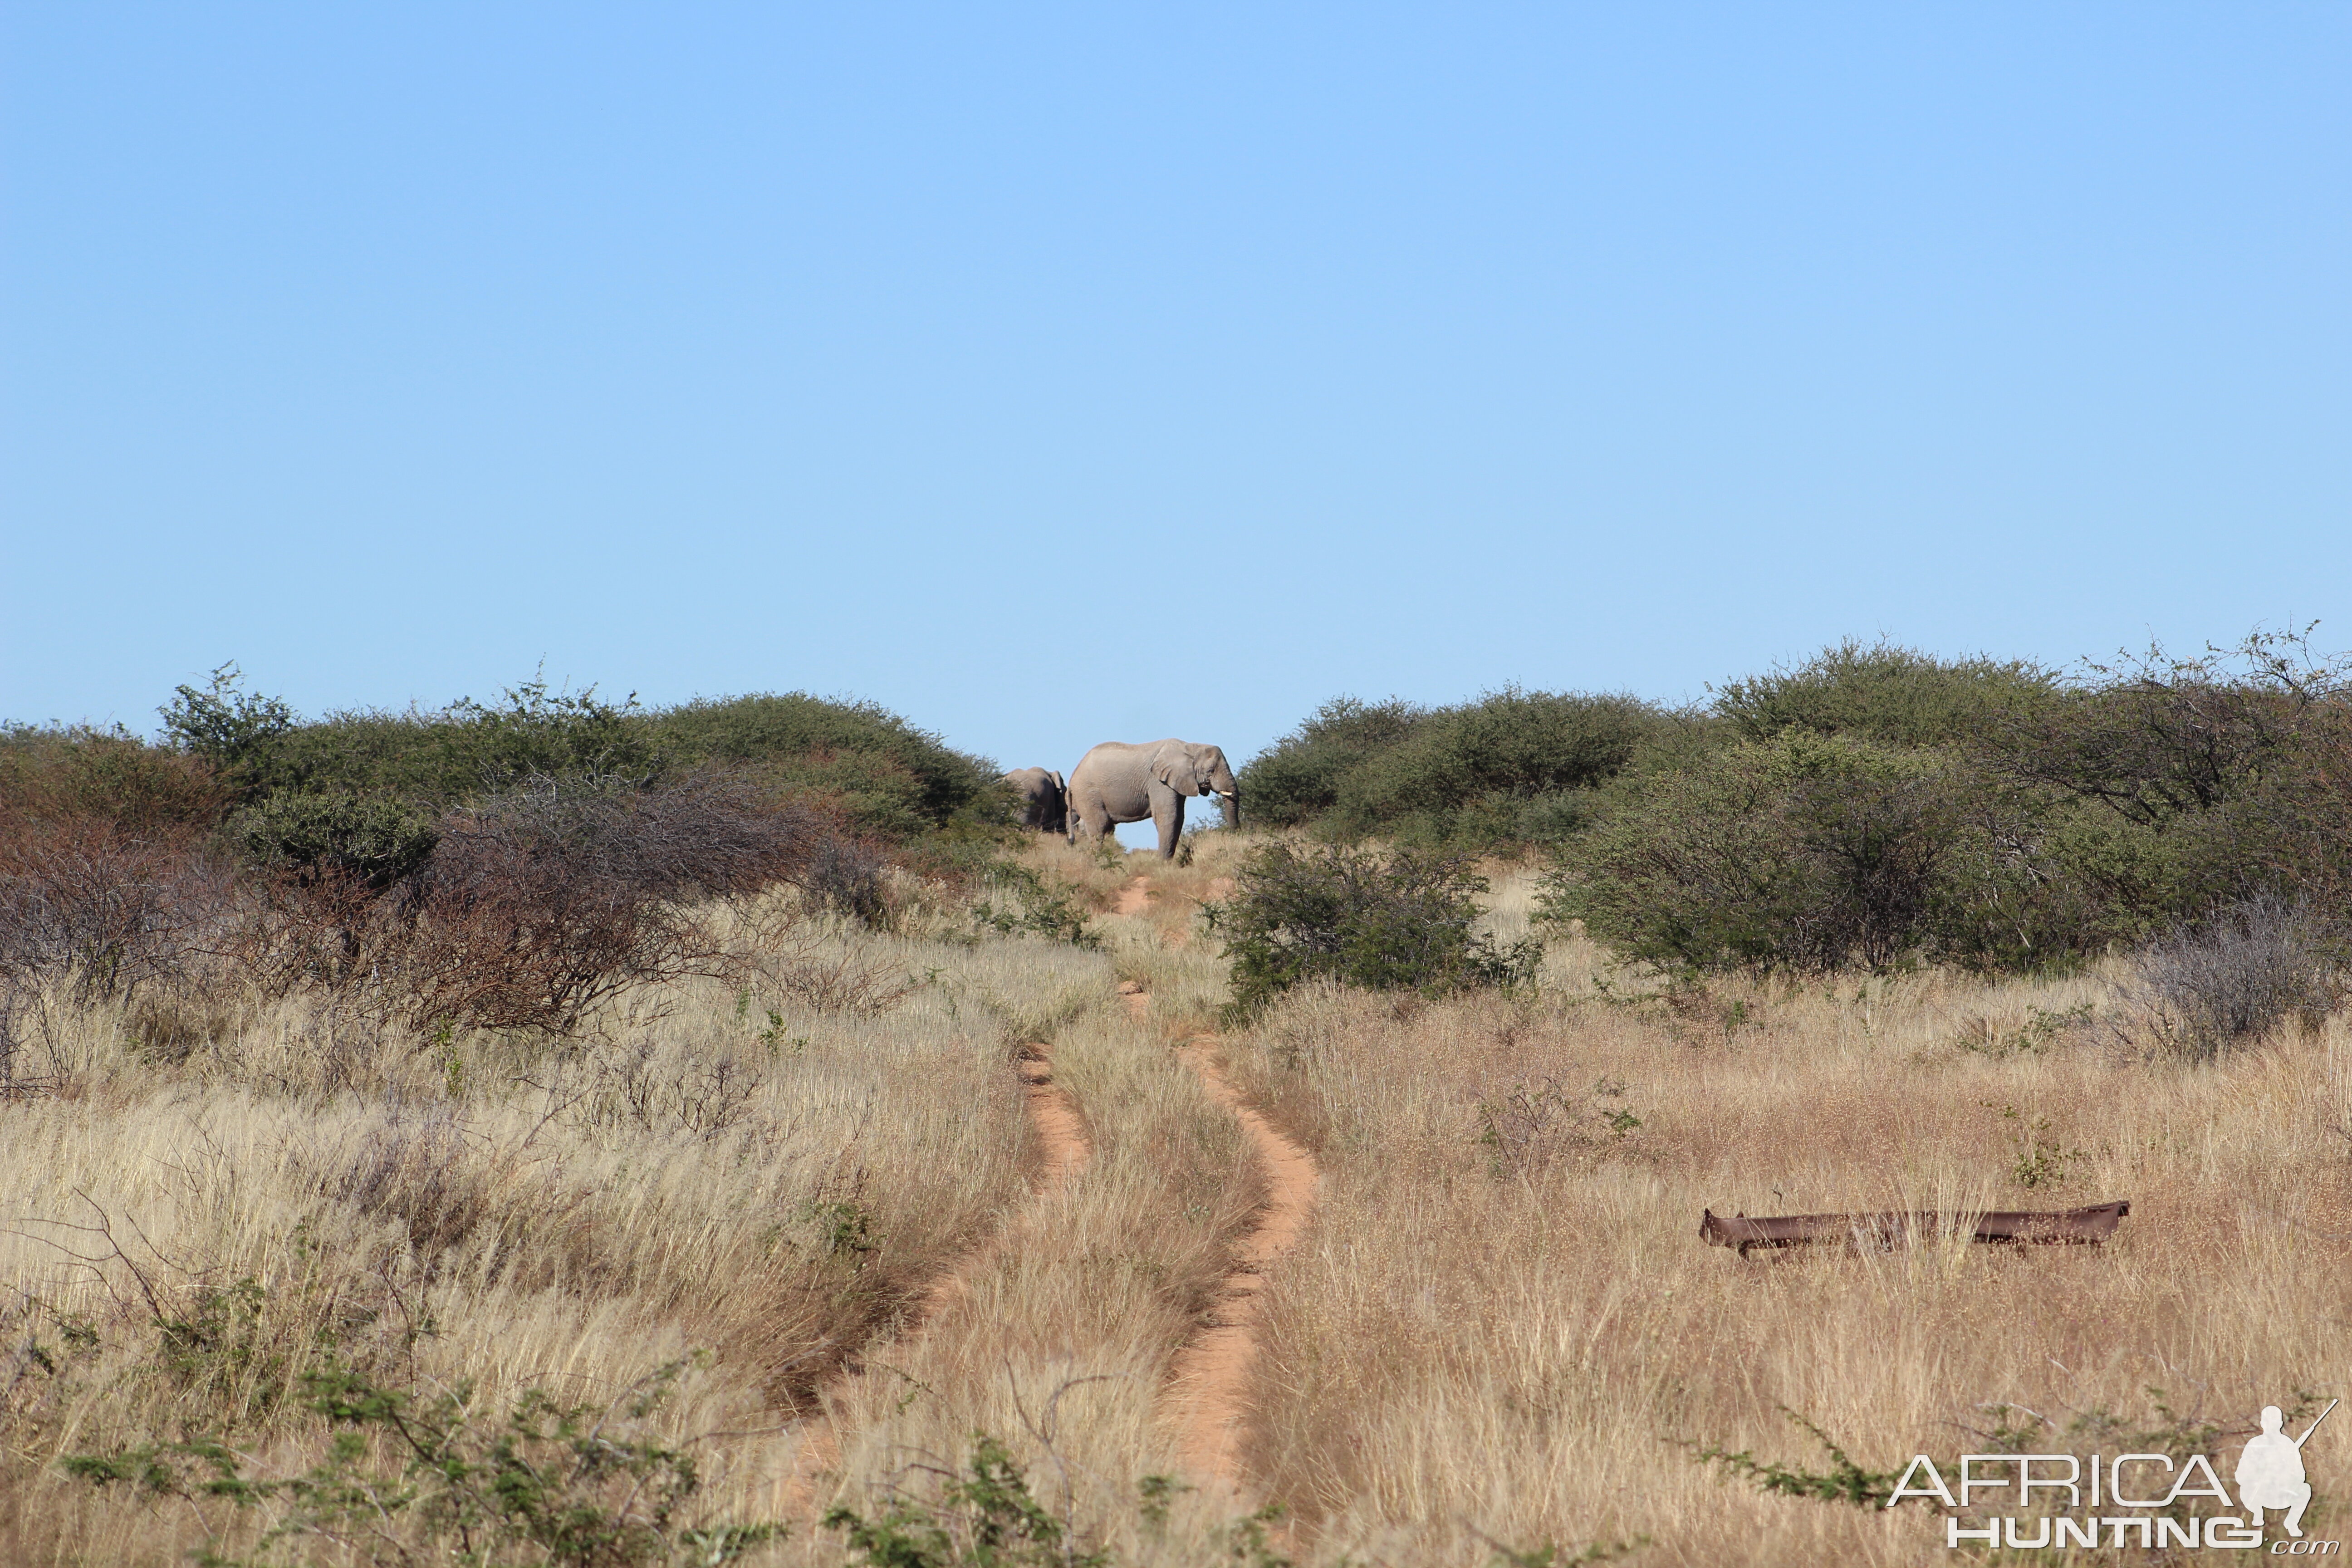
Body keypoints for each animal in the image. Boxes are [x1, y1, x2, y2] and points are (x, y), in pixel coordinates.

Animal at [1072, 738, 1242, 860]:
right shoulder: (1159, 782)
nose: (1236, 834)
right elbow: (1168, 816)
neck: (1191, 747)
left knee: (1108, 828)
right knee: (1099, 826)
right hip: (1088, 794)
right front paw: (1163, 864)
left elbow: (1179, 817)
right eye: (1211, 771)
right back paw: (1101, 861)